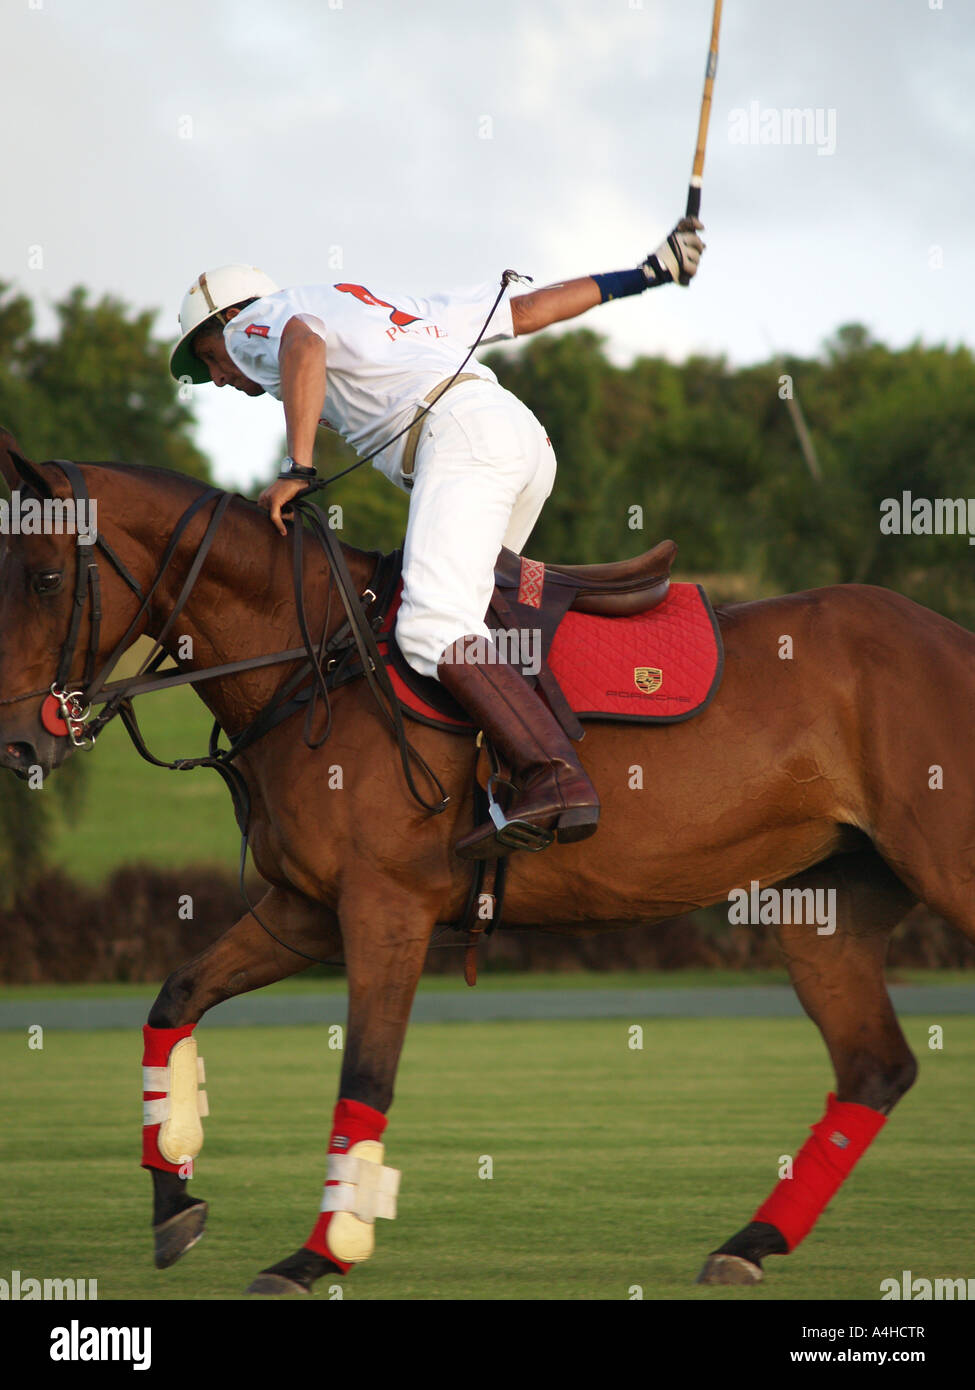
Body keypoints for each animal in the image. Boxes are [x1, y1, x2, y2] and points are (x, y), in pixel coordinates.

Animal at [0, 433, 968, 1289]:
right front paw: (174, 1200)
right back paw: (750, 1243)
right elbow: (174, 999)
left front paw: (317, 1255)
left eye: (44, 576)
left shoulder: (384, 908)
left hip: (944, 868)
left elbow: (364, 1075)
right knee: (875, 1066)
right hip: (826, 903)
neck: (315, 657)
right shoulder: (304, 910)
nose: (18, 744)